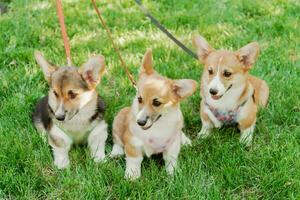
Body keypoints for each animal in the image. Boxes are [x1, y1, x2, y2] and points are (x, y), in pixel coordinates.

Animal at [110, 48, 197, 180]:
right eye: (139, 99)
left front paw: (173, 174)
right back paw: (116, 152)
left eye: (156, 103)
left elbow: (171, 160)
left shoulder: (172, 146)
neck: (157, 127)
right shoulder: (133, 144)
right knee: (117, 140)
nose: (140, 122)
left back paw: (185, 140)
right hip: (119, 119)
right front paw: (132, 176)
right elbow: (134, 160)